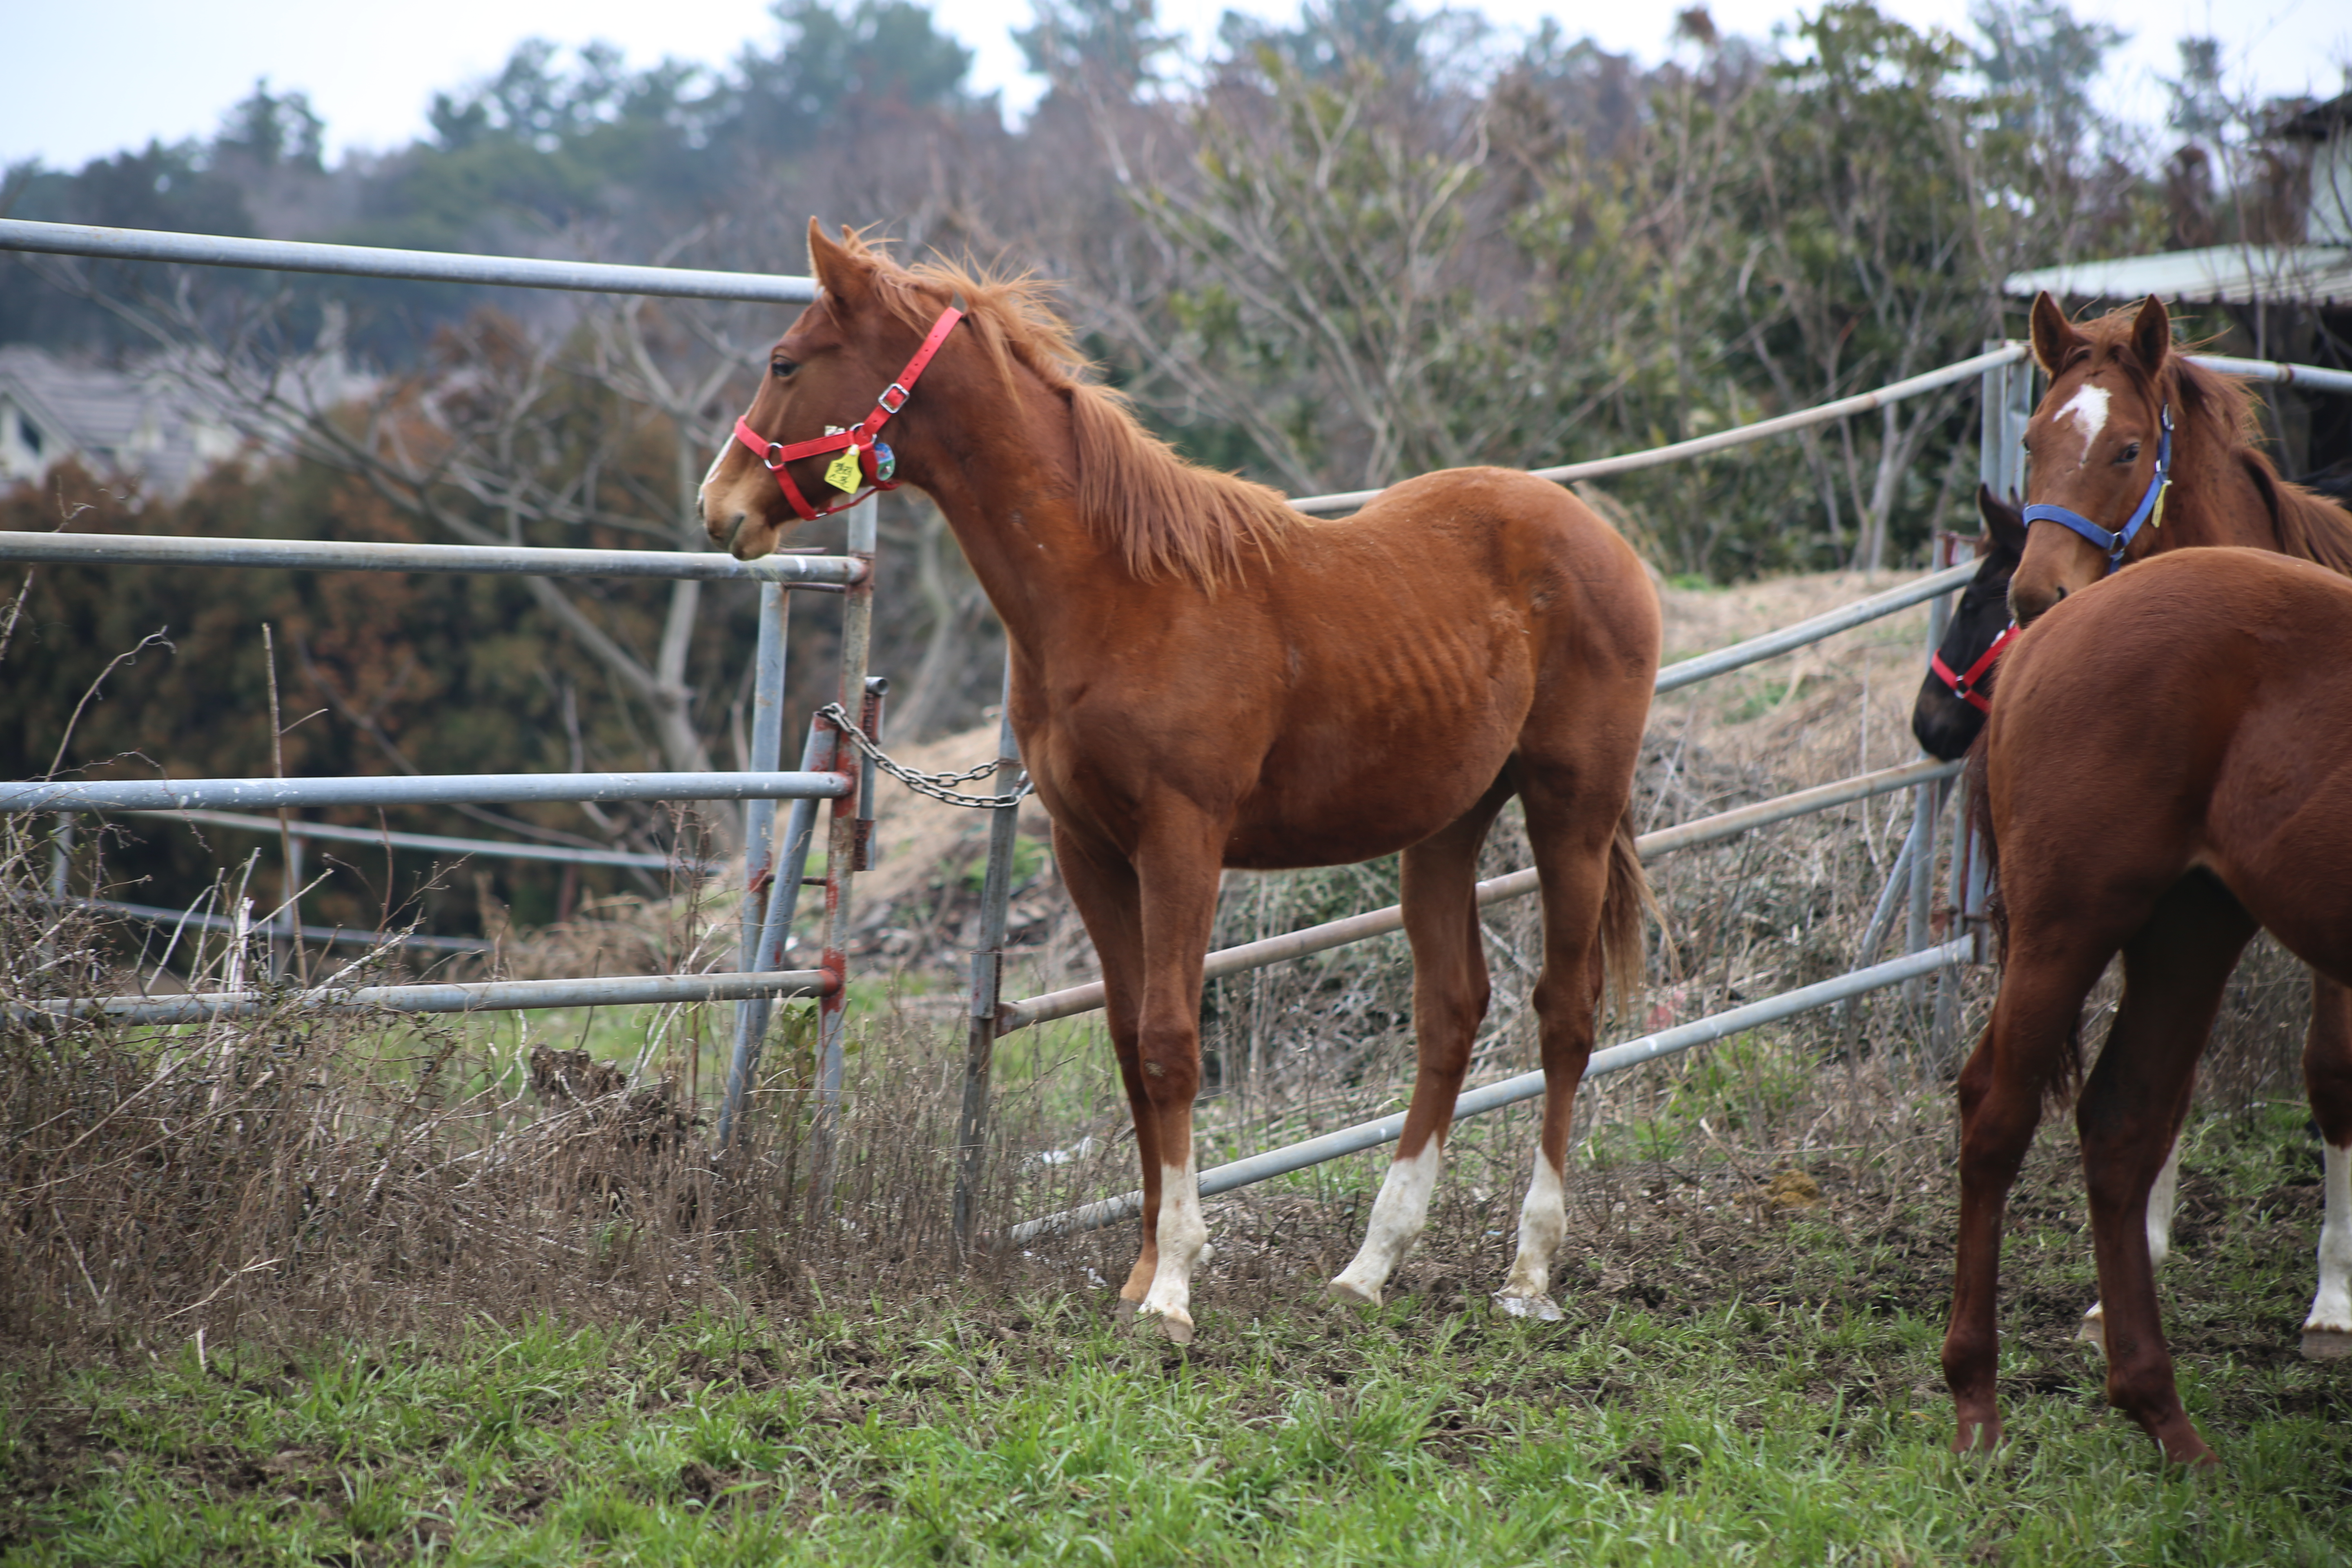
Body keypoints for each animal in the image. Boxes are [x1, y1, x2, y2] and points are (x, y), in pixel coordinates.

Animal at [696, 227, 1656, 1345]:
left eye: (784, 363)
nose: (719, 509)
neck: (1118, 590)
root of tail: (1604, 538)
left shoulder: (1182, 841)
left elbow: (1170, 1042)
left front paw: (1176, 1285)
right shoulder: (1090, 849)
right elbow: (1125, 1043)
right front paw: (1142, 1268)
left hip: (1571, 810)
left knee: (1566, 1013)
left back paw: (1529, 1270)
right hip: (1445, 828)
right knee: (1452, 1013)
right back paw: (1367, 1269)